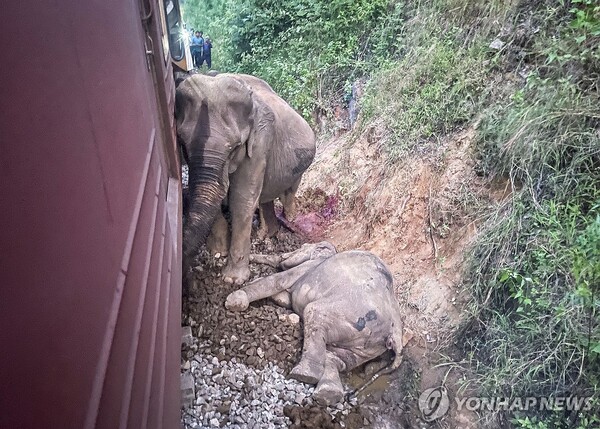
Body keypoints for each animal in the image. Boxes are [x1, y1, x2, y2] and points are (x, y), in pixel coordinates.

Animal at [176, 74, 316, 284]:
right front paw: (218, 251)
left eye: (234, 147)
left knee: (287, 194)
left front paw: (232, 279)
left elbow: (242, 198)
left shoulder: (260, 140)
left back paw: (290, 220)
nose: (186, 280)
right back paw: (266, 234)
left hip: (300, 164)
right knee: (266, 197)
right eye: (183, 143)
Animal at [225, 242, 404, 402]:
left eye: (301, 247)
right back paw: (328, 395)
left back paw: (304, 375)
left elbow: (278, 280)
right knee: (336, 359)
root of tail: (396, 333)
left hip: (351, 318)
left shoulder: (307, 268)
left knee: (314, 314)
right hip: (365, 346)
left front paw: (234, 301)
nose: (250, 257)